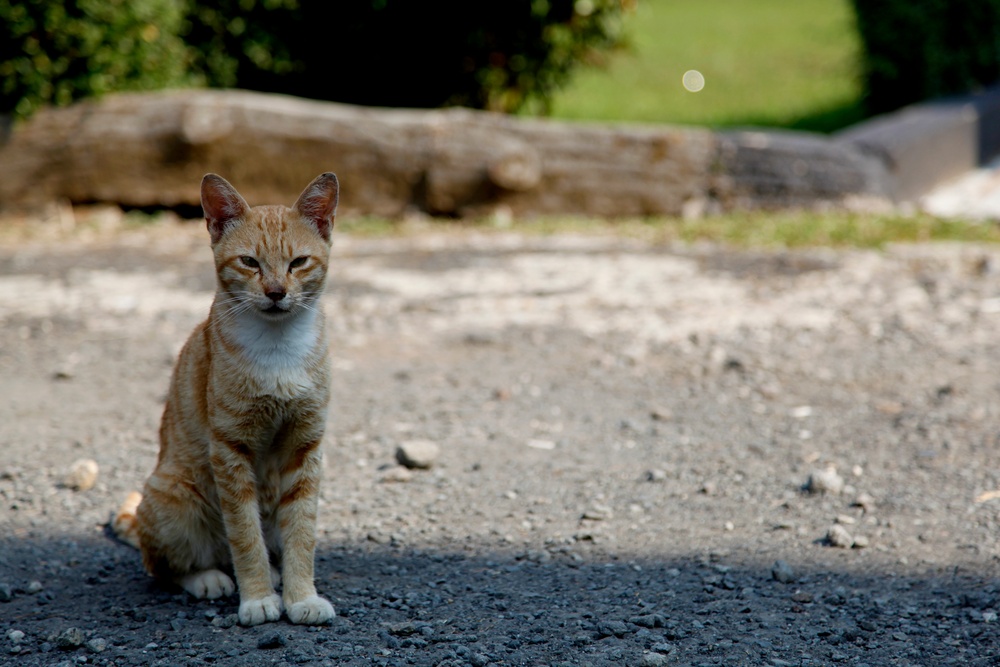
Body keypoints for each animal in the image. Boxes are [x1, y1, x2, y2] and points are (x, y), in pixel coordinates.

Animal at [113, 171, 340, 628]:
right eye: (250, 262)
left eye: (298, 263)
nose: (276, 291)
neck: (277, 345)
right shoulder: (230, 450)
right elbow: (244, 535)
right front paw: (257, 598)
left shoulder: (305, 447)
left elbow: (302, 532)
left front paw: (301, 596)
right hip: (173, 499)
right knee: (166, 565)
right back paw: (209, 578)